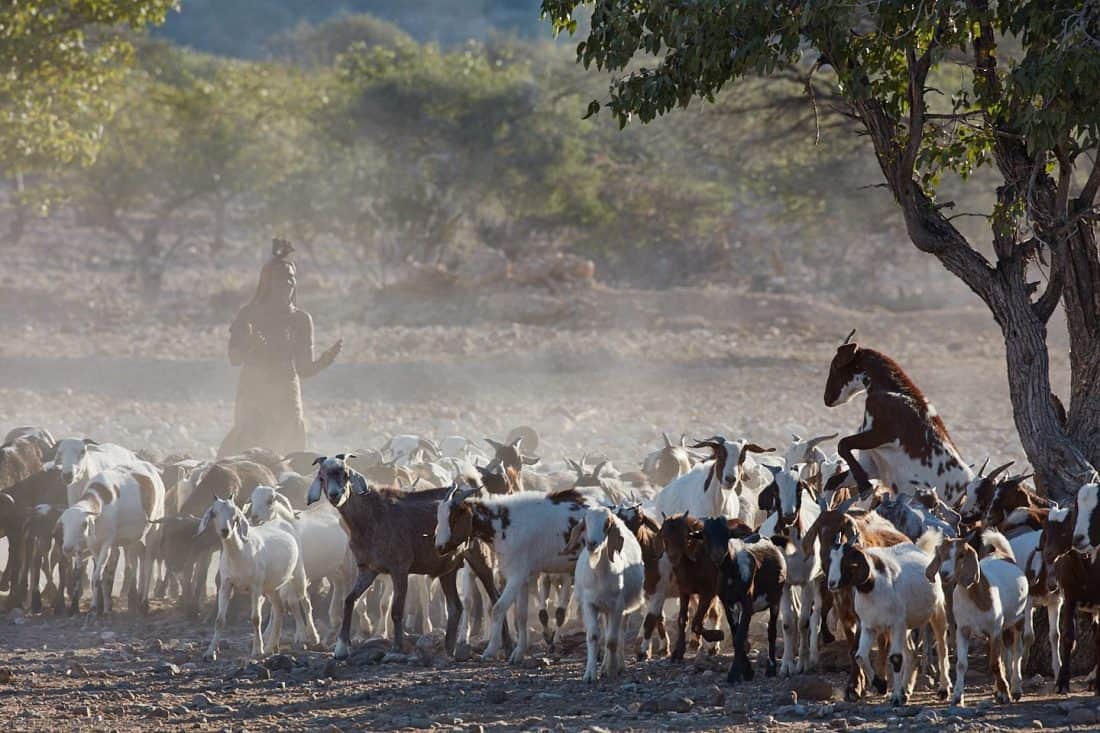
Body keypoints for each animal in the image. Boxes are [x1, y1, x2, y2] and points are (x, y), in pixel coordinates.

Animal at [200, 497, 319, 655]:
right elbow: (219, 620)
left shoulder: (255, 587)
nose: (225, 531)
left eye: (235, 514)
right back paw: (270, 647)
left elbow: (256, 618)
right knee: (279, 609)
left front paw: (257, 650)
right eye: (214, 513)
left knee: (305, 602)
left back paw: (313, 637)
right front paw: (210, 652)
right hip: (271, 587)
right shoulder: (226, 585)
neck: (240, 552)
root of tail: (282, 522)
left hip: (298, 572)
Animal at [563, 501, 642, 677]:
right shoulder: (589, 604)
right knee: (606, 634)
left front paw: (611, 670)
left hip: (621, 609)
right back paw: (605, 666)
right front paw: (590, 674)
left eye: (607, 524)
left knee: (620, 634)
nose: (592, 543)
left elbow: (612, 640)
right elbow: (594, 636)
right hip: (604, 609)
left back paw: (619, 666)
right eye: (585, 523)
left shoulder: (617, 606)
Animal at [822, 330, 976, 501]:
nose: (826, 398)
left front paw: (865, 487)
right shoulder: (872, 464)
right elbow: (833, 480)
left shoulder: (881, 434)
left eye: (835, 365)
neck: (895, 391)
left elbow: (842, 444)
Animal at [827, 528, 950, 704]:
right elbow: (860, 656)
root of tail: (922, 551)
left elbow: (896, 658)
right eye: (830, 559)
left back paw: (943, 690)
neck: (872, 586)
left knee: (942, 648)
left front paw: (896, 697)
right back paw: (906, 690)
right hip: (905, 627)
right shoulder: (869, 626)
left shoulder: (895, 624)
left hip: (936, 611)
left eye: (849, 562)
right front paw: (881, 685)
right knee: (911, 653)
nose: (832, 584)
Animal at [928, 537, 1029, 704]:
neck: (976, 596)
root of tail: (1003, 555)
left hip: (1019, 619)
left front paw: (1005, 693)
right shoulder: (963, 630)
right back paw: (999, 689)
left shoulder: (994, 630)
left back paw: (1015, 689)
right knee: (1005, 653)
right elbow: (962, 665)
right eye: (941, 553)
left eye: (961, 554)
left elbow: (994, 664)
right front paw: (957, 697)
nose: (944, 573)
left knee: (1017, 651)